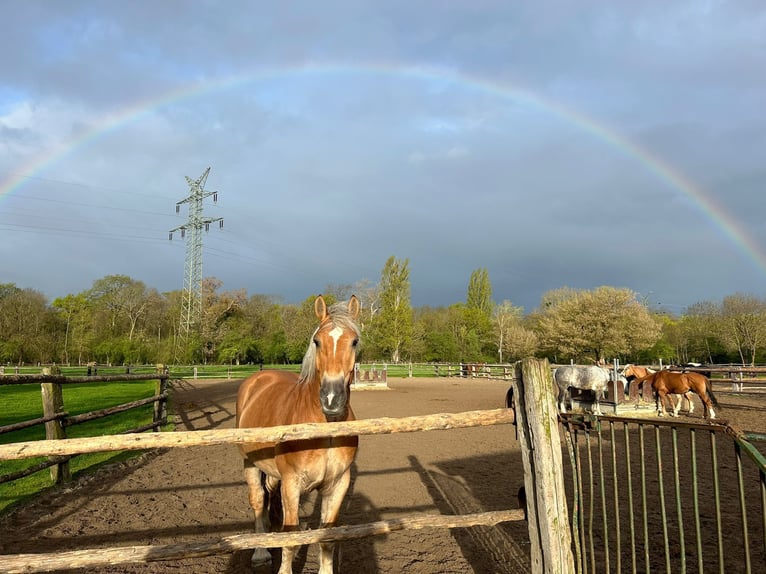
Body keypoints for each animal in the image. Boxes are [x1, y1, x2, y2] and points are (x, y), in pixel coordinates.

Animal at [236, 295, 361, 574]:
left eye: (354, 341)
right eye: (317, 341)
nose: (332, 399)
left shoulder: (338, 484)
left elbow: (327, 538)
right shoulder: (292, 483)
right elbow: (291, 538)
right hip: (250, 463)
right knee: (258, 500)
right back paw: (261, 552)